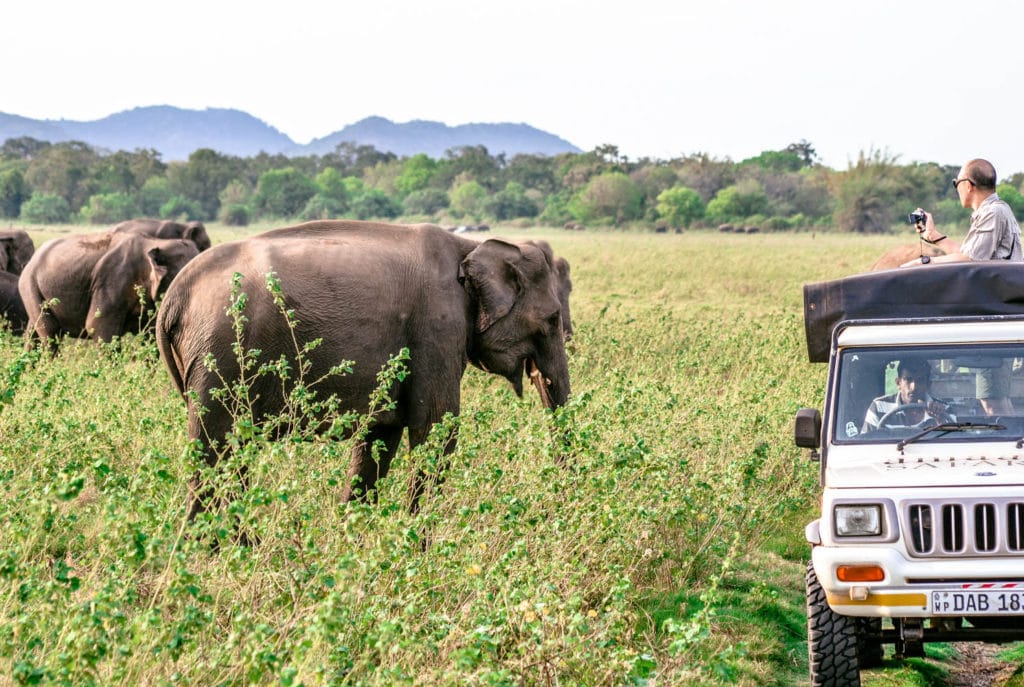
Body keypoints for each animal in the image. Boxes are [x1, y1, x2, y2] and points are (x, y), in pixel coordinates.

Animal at [19, 232, 198, 352]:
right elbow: (96, 325)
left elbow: (153, 334)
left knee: (33, 334)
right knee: (50, 334)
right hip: (30, 287)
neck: (156, 242)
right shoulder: (113, 280)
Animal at [155, 222, 573, 522]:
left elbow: (378, 438)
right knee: (216, 450)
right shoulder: (437, 329)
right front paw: (417, 545)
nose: (558, 507)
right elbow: (437, 429)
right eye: (552, 319)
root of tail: (174, 298)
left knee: (234, 452)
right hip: (221, 355)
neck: (469, 245)